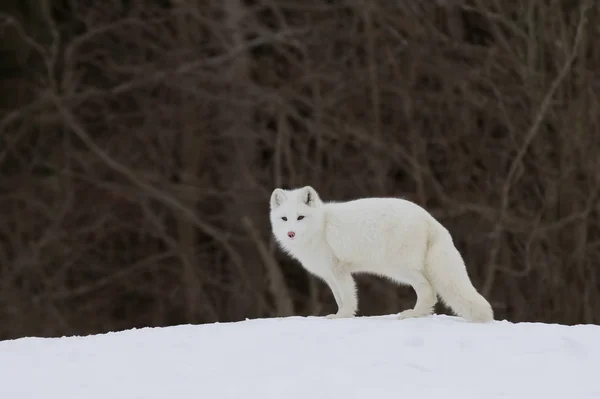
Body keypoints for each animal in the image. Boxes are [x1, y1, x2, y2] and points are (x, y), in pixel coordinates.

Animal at [270, 186, 494, 324]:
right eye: (284, 219)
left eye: (300, 217)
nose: (291, 233)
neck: (321, 227)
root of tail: (430, 219)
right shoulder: (329, 275)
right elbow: (340, 298)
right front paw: (341, 315)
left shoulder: (339, 270)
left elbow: (348, 298)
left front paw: (342, 316)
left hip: (398, 269)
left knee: (428, 290)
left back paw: (412, 314)